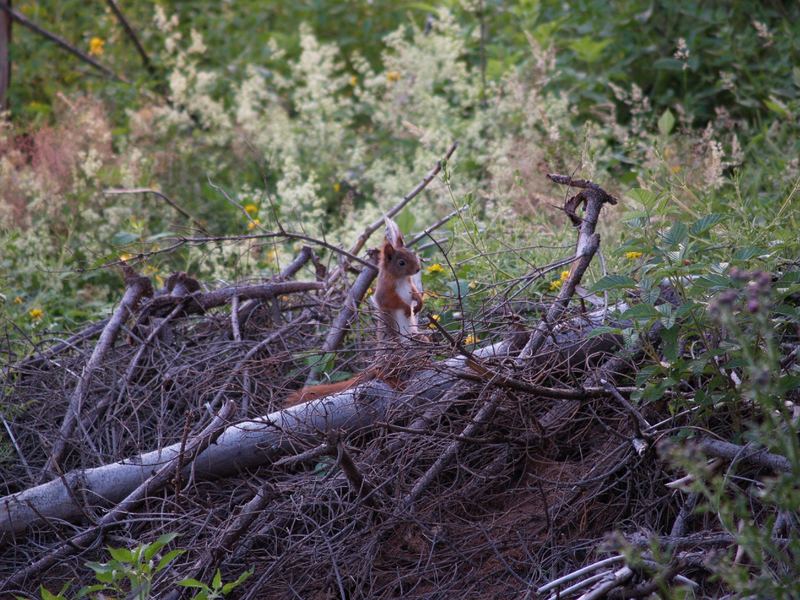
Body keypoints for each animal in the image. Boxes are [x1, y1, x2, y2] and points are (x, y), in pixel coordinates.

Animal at [286, 218, 424, 406]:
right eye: (401, 262)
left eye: (412, 254)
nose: (418, 269)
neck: (401, 279)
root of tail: (376, 362)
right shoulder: (384, 292)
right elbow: (391, 302)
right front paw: (406, 308)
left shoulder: (410, 286)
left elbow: (415, 293)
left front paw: (419, 303)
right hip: (393, 350)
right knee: (382, 373)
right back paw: (393, 380)